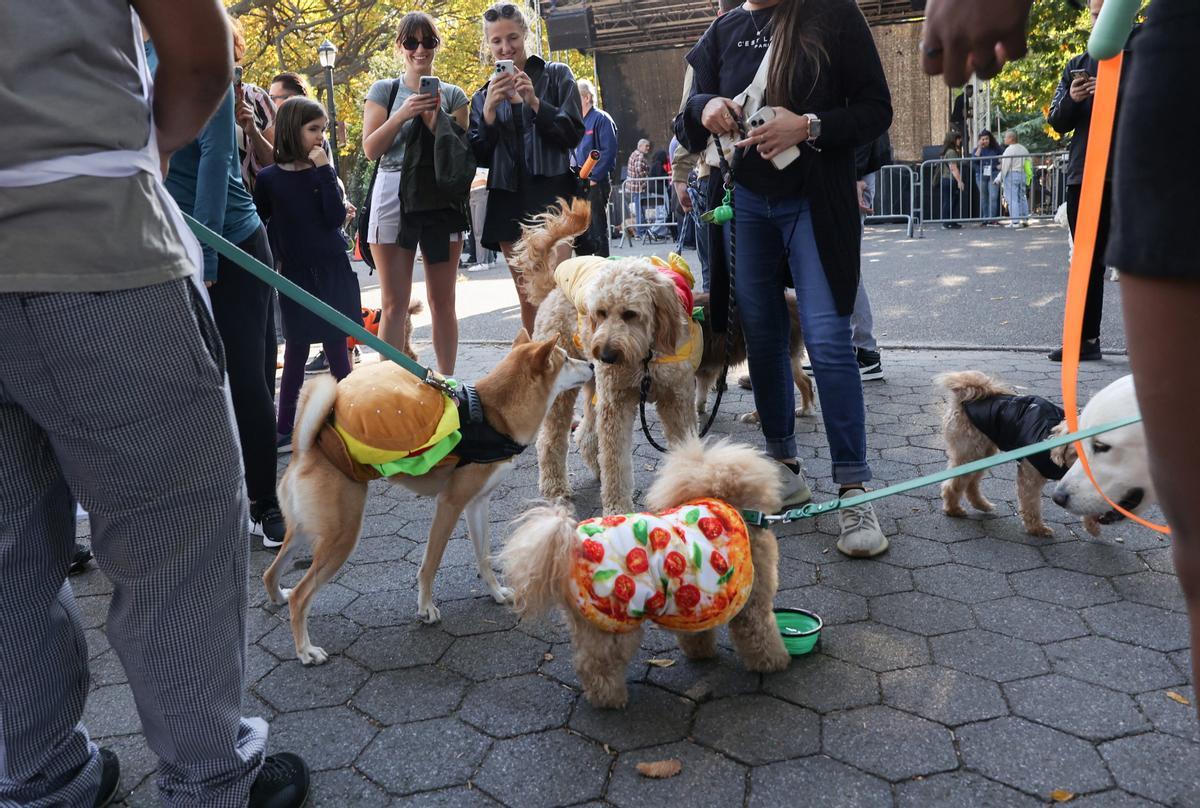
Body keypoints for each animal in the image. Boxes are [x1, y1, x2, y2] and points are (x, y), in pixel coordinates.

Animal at [499, 437, 792, 710]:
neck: (733, 511)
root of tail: (573, 543)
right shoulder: (752, 605)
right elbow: (760, 633)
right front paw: (775, 662)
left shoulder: (692, 604)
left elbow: (696, 633)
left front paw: (701, 652)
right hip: (618, 621)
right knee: (597, 664)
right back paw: (611, 698)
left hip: (590, 622)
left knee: (585, 658)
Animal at [511, 198, 700, 511]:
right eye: (599, 313)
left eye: (630, 314)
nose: (606, 355)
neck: (645, 357)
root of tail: (553, 286)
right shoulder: (617, 402)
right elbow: (616, 461)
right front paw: (617, 509)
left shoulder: (678, 401)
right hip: (565, 387)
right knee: (551, 439)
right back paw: (555, 487)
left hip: (593, 384)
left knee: (586, 434)